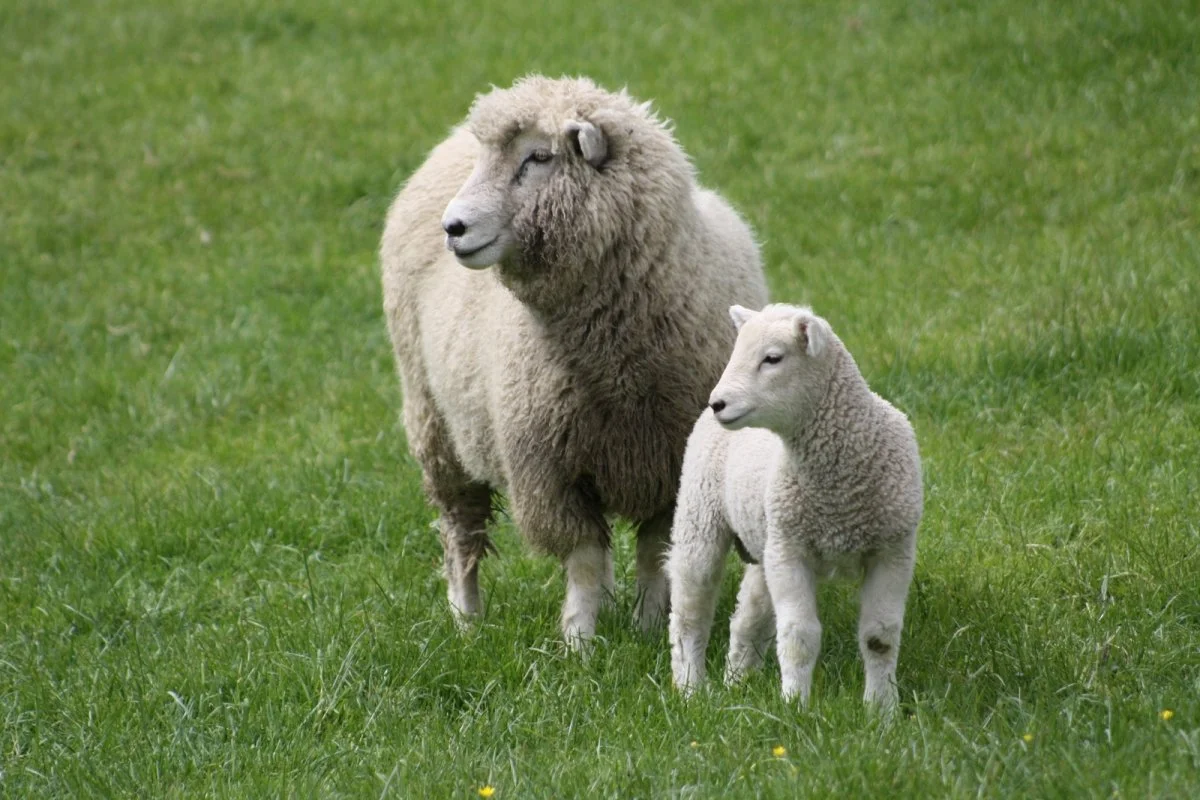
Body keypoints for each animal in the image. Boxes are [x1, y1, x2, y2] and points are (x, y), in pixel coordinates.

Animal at [380, 75, 768, 647]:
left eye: (539, 157)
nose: (453, 227)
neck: (618, 369)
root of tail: (447, 144)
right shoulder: (548, 470)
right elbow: (583, 559)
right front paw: (580, 642)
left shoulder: (671, 459)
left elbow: (654, 554)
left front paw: (647, 627)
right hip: (435, 426)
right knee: (461, 532)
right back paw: (467, 620)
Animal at [666, 305, 922, 708]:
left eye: (773, 358)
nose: (718, 403)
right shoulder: (792, 552)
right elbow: (799, 635)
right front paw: (794, 706)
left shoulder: (893, 551)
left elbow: (879, 637)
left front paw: (881, 710)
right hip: (700, 514)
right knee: (689, 612)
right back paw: (691, 689)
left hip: (766, 540)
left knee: (746, 616)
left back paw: (737, 682)